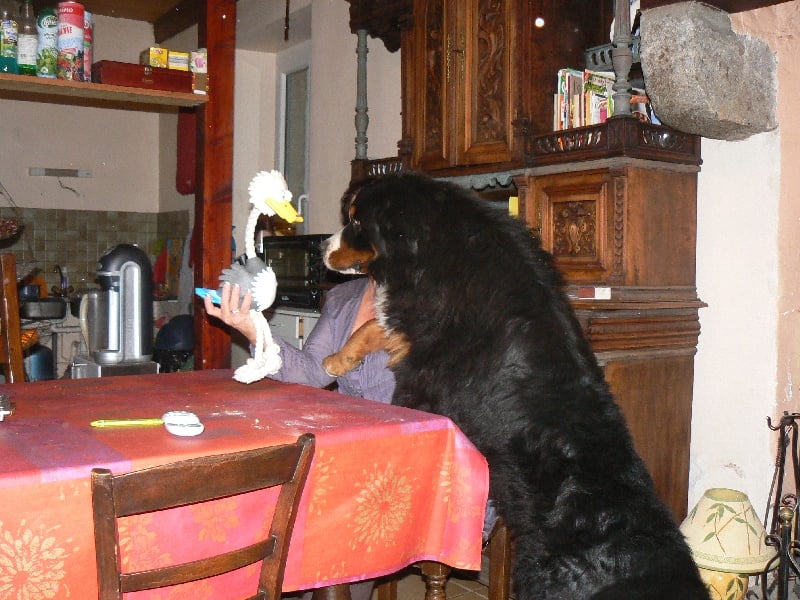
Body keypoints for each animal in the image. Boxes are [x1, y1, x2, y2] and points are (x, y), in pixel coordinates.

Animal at [322, 172, 707, 599]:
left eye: (357, 221)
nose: (322, 247)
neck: (436, 249)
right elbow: (371, 327)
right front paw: (337, 359)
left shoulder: (424, 371)